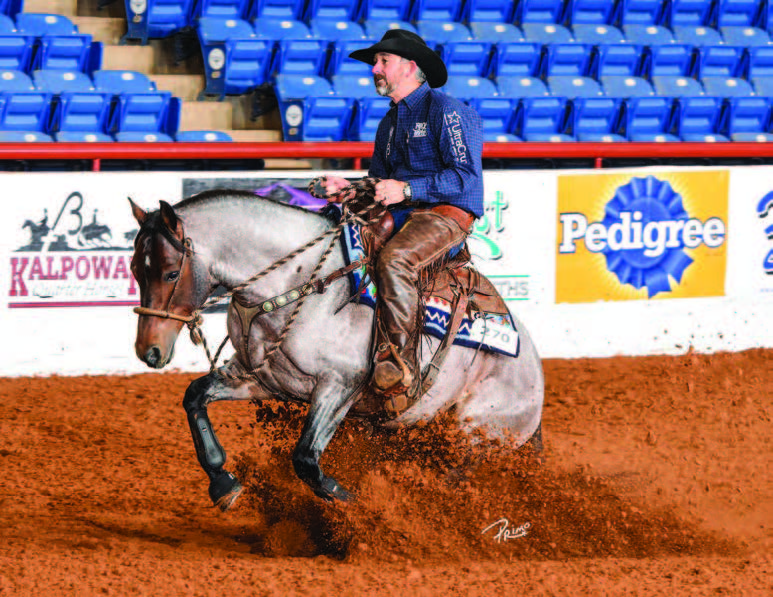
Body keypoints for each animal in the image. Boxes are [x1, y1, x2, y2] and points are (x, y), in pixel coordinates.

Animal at [130, 190, 544, 508]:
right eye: (134, 268)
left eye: (170, 272)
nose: (148, 350)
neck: (298, 282)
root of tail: (534, 373)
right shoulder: (257, 378)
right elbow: (194, 396)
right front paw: (223, 483)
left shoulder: (340, 386)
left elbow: (306, 460)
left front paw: (354, 505)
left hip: (473, 438)